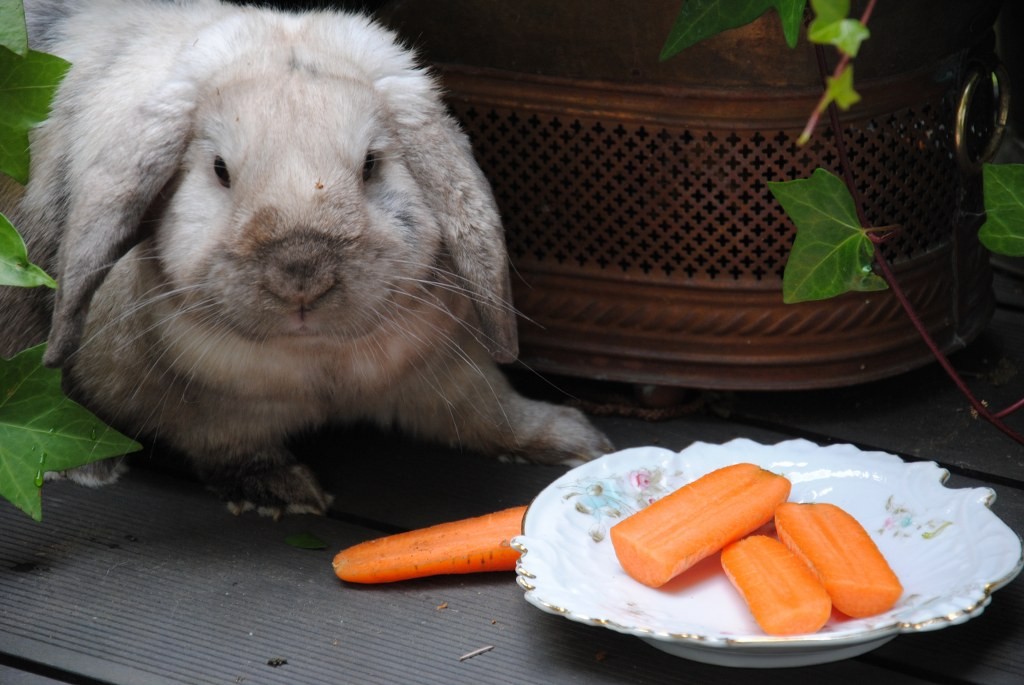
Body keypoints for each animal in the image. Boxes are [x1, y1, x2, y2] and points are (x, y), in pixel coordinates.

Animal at [0, 0, 610, 511]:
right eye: (220, 170)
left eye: (371, 165)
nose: (301, 273)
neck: (317, 362)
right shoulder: (203, 413)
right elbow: (223, 445)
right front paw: (283, 490)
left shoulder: (446, 374)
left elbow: (490, 411)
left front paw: (576, 440)